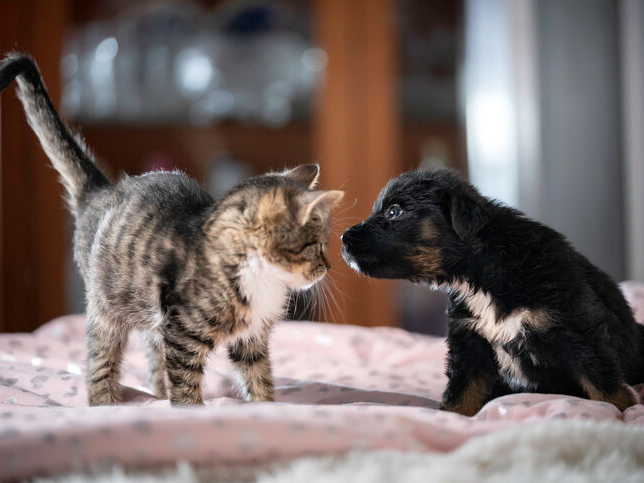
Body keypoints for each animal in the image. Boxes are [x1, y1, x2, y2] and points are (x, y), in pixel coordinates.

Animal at [0, 53, 344, 406]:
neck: (260, 277)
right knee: (101, 359)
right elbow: (185, 383)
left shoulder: (250, 339)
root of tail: (102, 192)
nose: (327, 267)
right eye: (316, 245)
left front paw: (265, 407)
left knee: (153, 356)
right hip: (105, 306)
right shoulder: (181, 332)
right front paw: (190, 410)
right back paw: (105, 404)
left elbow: (258, 377)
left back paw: (157, 395)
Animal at [342, 169, 644, 416]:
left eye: (394, 212)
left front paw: (625, 413)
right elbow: (461, 393)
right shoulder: (470, 344)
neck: (482, 272)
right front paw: (450, 417)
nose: (344, 239)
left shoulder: (578, 331)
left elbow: (603, 383)